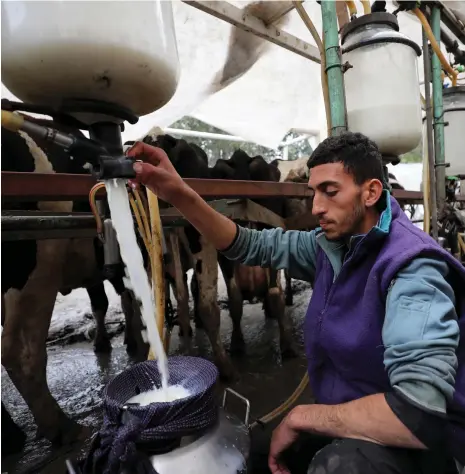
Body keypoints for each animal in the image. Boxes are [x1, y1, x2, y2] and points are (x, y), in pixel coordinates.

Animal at [0, 117, 148, 444]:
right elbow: (123, 299)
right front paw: (130, 340)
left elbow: (105, 302)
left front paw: (110, 342)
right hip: (41, 262)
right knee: (21, 350)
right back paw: (61, 427)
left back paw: (16, 433)